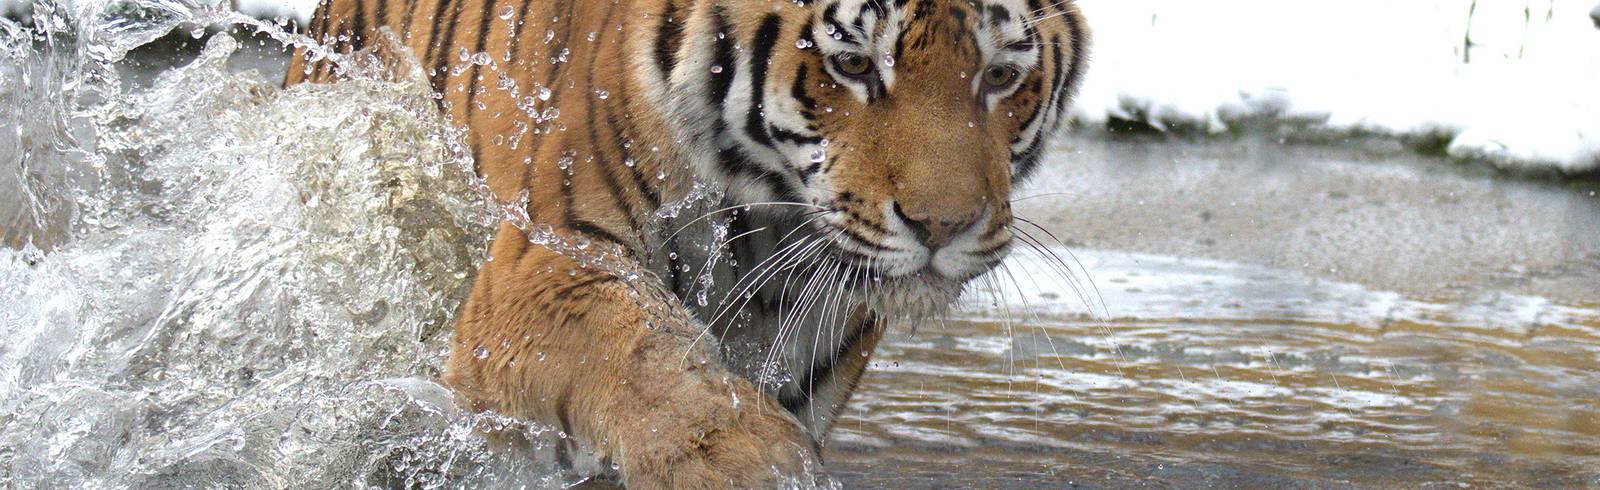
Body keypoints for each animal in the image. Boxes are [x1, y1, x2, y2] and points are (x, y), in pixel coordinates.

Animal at [284, 0, 1088, 483]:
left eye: (1001, 76)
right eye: (853, 64)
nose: (943, 226)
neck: (765, 228)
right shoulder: (547, 262)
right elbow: (649, 357)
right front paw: (750, 461)